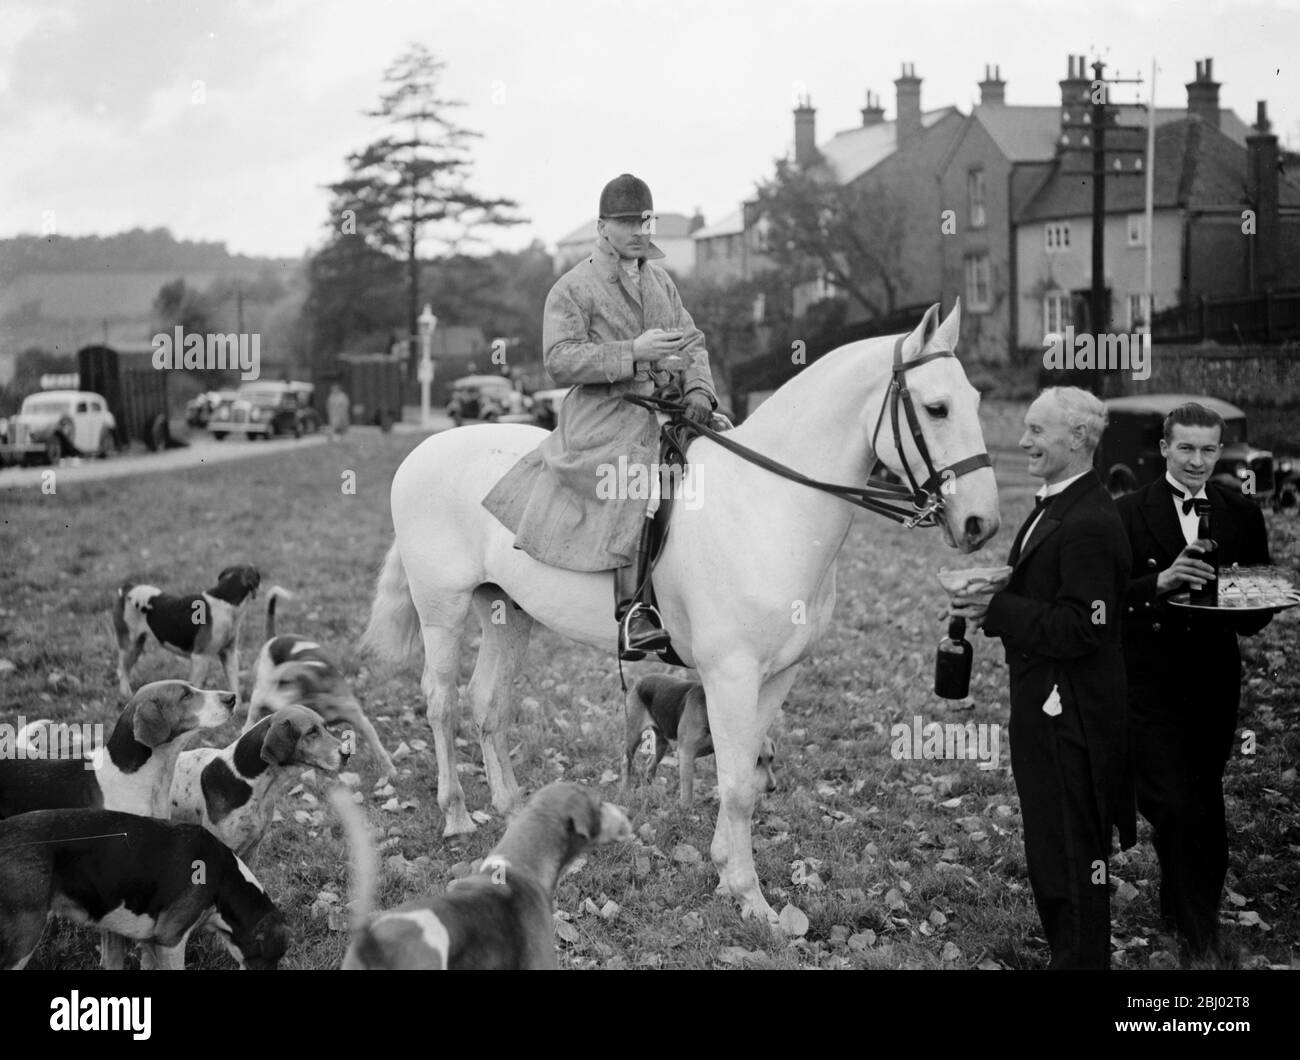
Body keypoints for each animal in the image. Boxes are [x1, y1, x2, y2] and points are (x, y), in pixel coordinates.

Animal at [361, 296, 998, 920]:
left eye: (975, 400)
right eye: (936, 408)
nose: (981, 524)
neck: (769, 503)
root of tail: (422, 451)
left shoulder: (777, 676)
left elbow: (744, 773)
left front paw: (726, 878)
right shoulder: (730, 675)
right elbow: (736, 786)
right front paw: (750, 898)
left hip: (506, 612)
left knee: (487, 701)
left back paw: (510, 807)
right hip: (442, 610)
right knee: (441, 702)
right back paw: (455, 814)